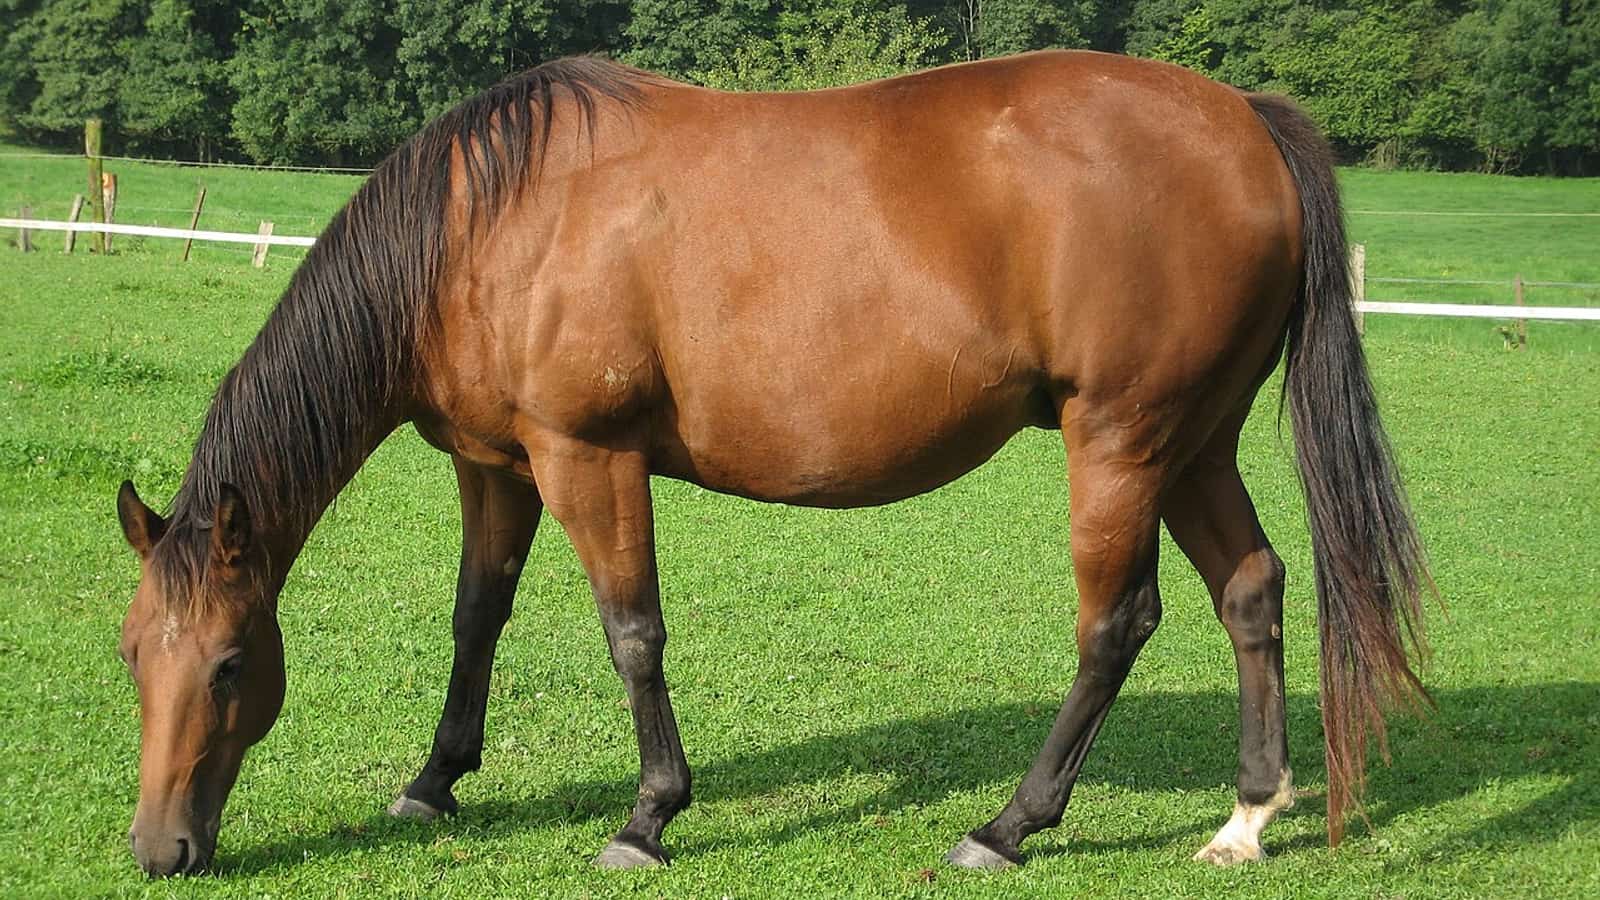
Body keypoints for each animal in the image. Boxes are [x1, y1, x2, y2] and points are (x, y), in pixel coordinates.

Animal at [113, 50, 1429, 877]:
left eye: (229, 666)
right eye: (134, 657)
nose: (161, 850)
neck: (488, 223)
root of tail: (1243, 119)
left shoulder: (587, 459)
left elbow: (631, 633)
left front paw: (648, 817)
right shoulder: (496, 466)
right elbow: (476, 615)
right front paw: (435, 782)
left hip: (1120, 442)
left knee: (1118, 624)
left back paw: (1008, 826)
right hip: (1192, 441)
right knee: (1250, 590)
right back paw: (1246, 816)